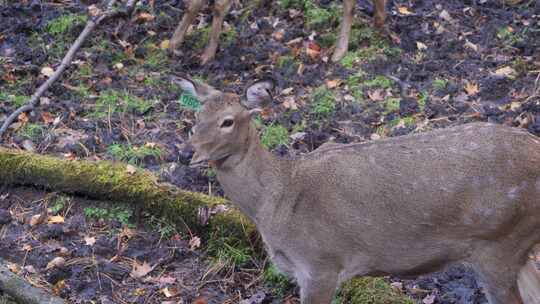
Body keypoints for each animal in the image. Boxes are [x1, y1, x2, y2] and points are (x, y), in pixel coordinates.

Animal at [171, 0, 386, 64]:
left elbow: (218, 7)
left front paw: (208, 55)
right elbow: (194, 4)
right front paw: (174, 42)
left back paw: (339, 52)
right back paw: (379, 22)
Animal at [177, 75, 540, 302]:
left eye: (228, 121)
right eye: (196, 117)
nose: (185, 152)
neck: (276, 201)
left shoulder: (321, 263)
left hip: (500, 242)